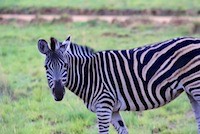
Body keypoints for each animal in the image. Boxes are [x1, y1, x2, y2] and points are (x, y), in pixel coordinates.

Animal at [38, 35, 200, 134]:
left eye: (65, 65)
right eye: (46, 67)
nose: (58, 93)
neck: (89, 74)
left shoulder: (103, 106)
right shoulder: (112, 110)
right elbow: (123, 130)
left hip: (196, 86)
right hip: (191, 91)